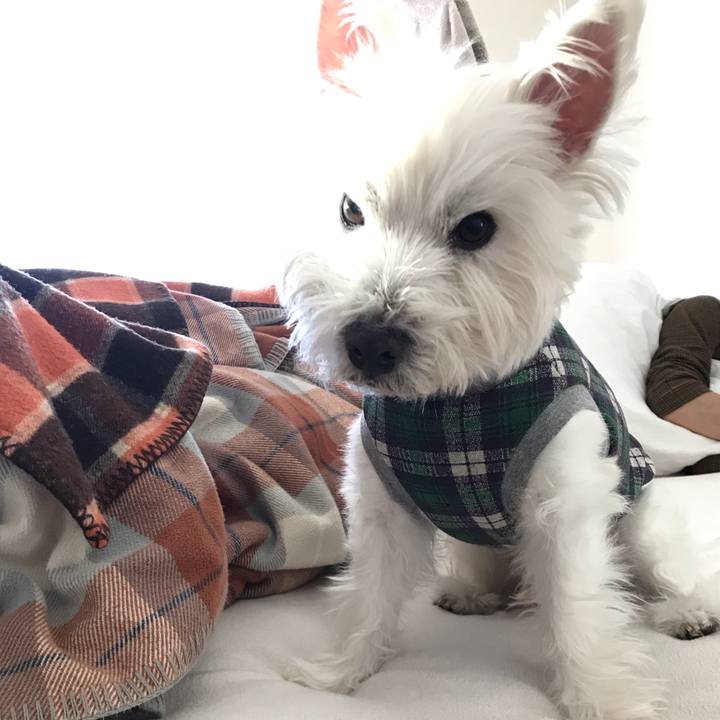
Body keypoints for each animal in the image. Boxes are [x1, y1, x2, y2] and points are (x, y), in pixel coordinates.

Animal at [280, 1, 718, 717]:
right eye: (349, 210)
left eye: (477, 228)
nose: (369, 341)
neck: (449, 404)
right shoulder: (381, 505)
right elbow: (368, 594)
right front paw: (337, 673)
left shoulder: (567, 504)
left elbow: (578, 607)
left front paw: (603, 698)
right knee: (494, 573)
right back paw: (473, 591)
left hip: (639, 518)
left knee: (655, 573)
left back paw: (685, 611)